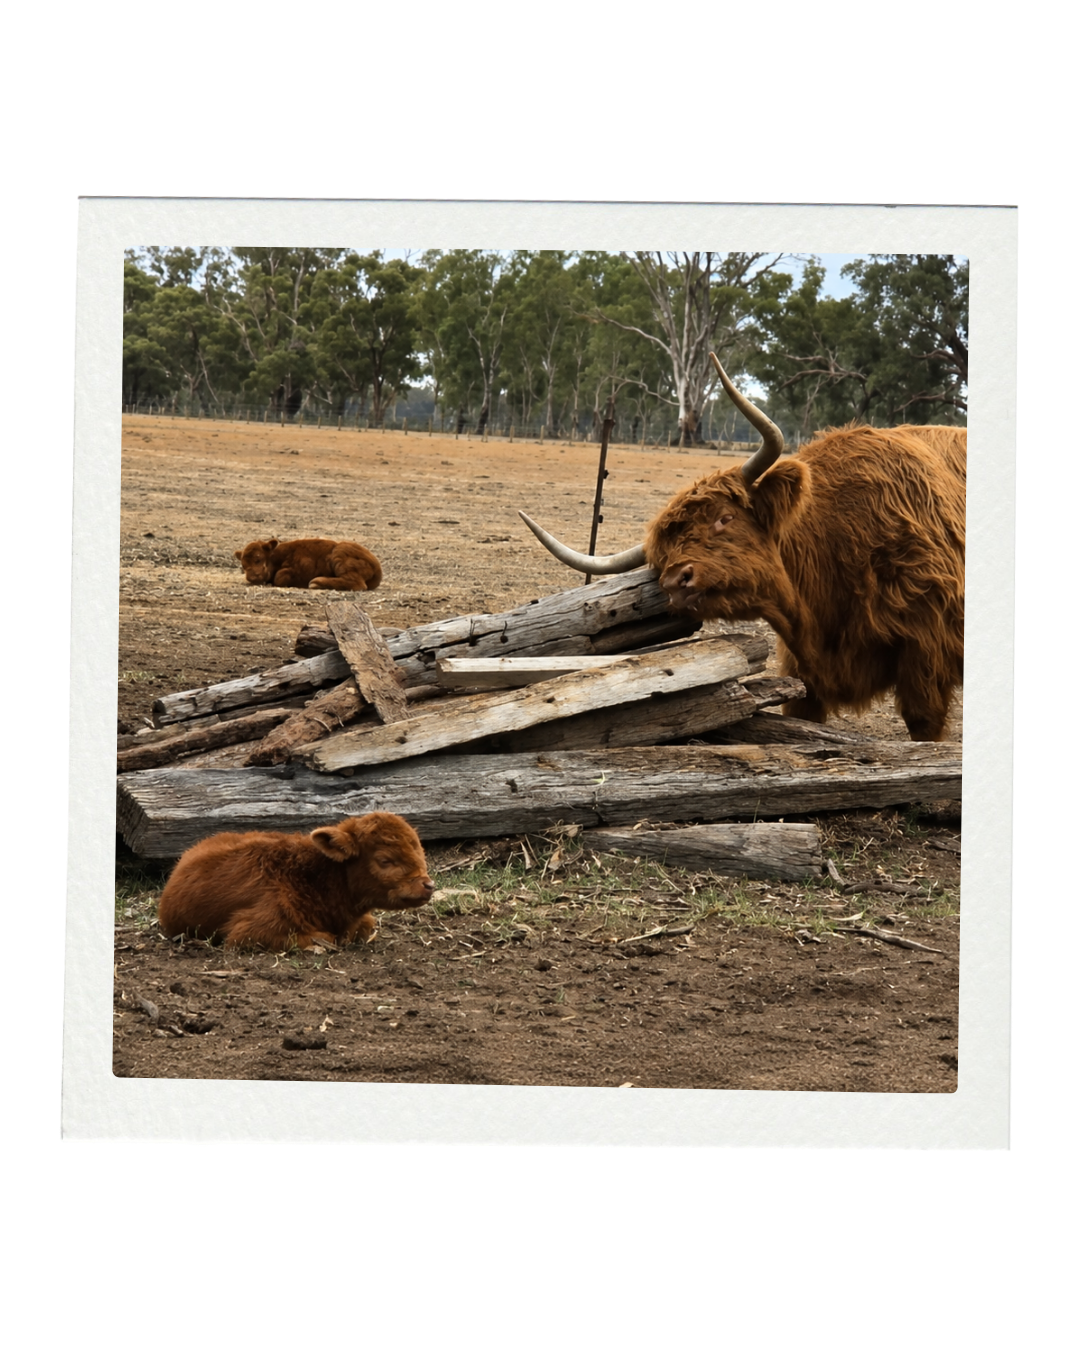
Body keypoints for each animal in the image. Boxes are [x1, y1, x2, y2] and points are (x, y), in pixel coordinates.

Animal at [234, 537, 382, 591]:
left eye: (258, 559)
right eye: (243, 565)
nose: (252, 577)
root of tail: (377, 567)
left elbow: (280, 576)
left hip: (339, 554)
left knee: (358, 584)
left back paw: (316, 583)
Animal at [519, 354, 965, 742]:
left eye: (725, 518)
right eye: (661, 557)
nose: (677, 581)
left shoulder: (926, 651)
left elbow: (922, 725)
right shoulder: (802, 668)